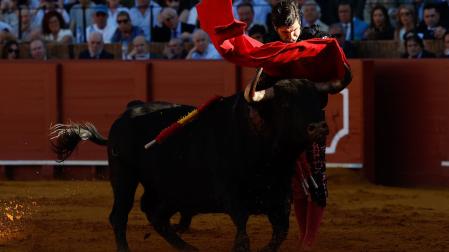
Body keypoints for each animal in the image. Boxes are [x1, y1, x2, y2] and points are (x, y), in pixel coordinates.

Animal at [50, 78, 332, 250]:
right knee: (119, 216)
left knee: (155, 214)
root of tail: (128, 110)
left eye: (318, 103)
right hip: (124, 177)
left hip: (169, 189)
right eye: (285, 104)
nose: (318, 127)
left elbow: (279, 234)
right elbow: (243, 236)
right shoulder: (234, 197)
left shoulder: (279, 197)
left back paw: (188, 248)